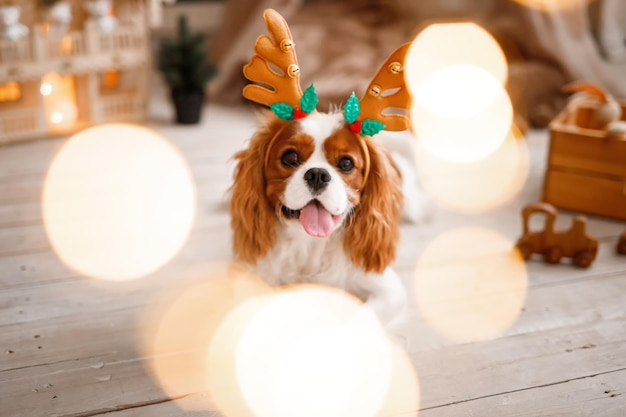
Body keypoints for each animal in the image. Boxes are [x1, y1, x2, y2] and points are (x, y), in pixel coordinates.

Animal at [227, 8, 422, 324]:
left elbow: (362, 316)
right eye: (290, 158)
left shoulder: (387, 289)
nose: (318, 175)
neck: (310, 245)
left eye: (346, 163)